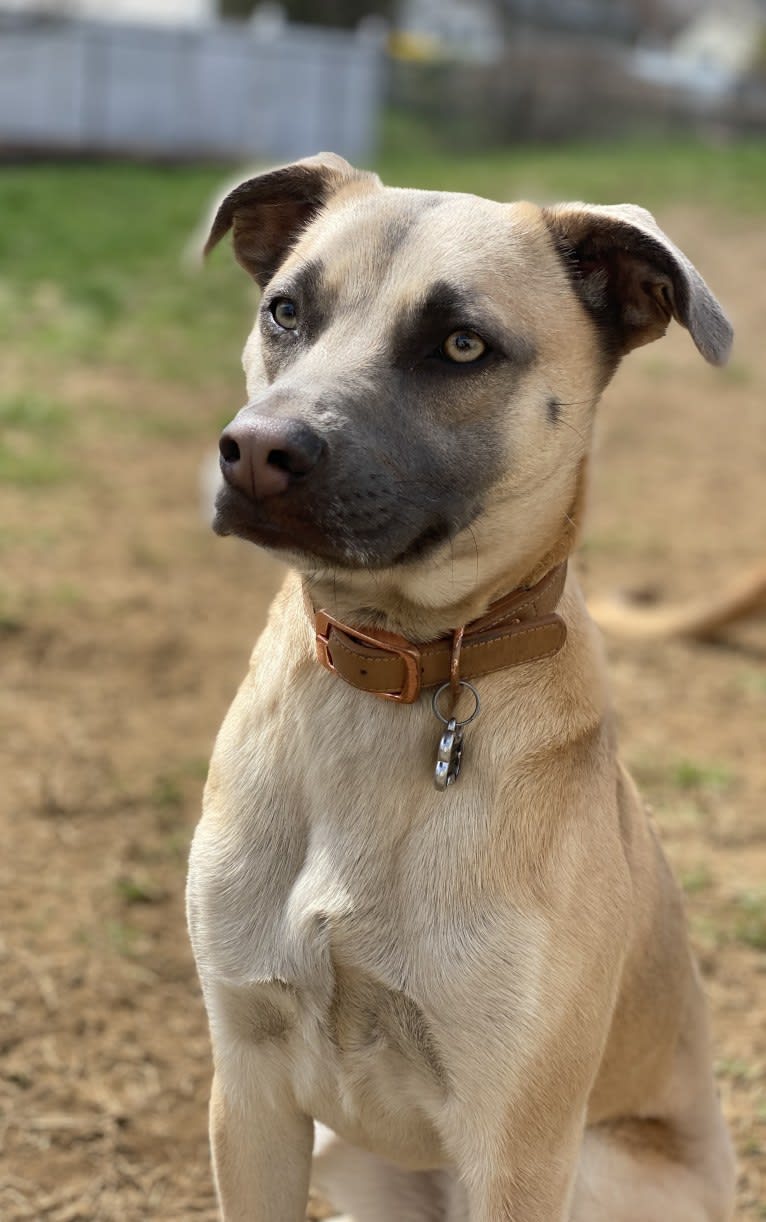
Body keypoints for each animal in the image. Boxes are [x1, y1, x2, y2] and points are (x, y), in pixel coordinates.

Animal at [185, 155, 737, 1222]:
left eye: (461, 345)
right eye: (285, 311)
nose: (257, 451)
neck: (391, 672)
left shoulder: (517, 1140)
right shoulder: (252, 1092)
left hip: (599, 1167)